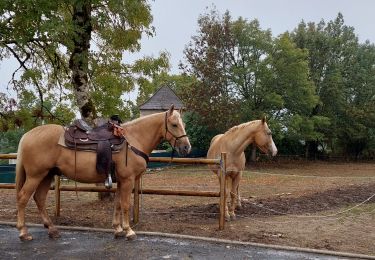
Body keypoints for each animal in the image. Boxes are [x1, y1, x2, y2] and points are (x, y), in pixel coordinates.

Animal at [14, 104, 191, 241]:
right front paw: (129, 231)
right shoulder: (128, 180)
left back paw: (52, 229)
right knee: (23, 198)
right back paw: (23, 232)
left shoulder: (121, 181)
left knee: (39, 198)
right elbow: (125, 205)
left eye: (183, 124)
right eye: (174, 124)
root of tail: (27, 135)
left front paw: (118, 229)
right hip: (35, 176)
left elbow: (118, 204)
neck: (133, 140)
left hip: (47, 175)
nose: (186, 147)